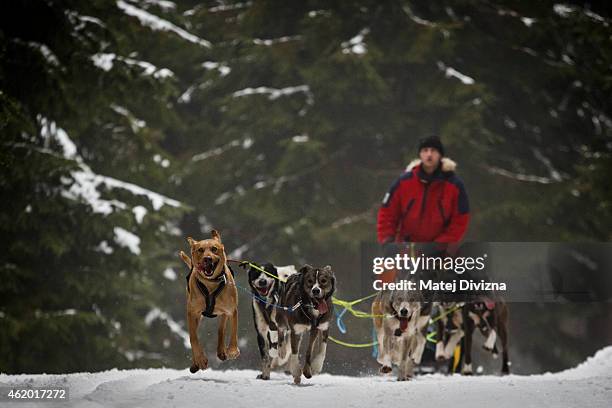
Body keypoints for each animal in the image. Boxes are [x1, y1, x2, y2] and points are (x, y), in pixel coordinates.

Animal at [178, 230, 240, 372]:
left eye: (214, 249)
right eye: (200, 250)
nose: (207, 258)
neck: (210, 283)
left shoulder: (231, 310)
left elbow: (233, 331)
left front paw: (232, 350)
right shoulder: (192, 313)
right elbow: (193, 338)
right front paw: (200, 360)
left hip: (223, 313)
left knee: (221, 329)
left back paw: (222, 351)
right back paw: (195, 363)